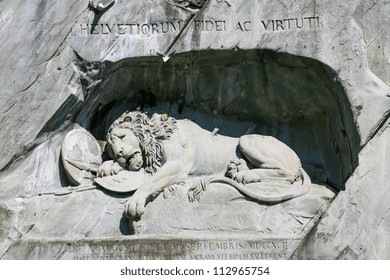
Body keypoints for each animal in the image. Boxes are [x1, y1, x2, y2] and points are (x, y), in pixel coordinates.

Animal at [98, 111, 310, 219]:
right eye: (111, 148)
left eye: (121, 137)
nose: (119, 153)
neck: (155, 139)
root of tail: (299, 160)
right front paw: (107, 167)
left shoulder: (177, 163)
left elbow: (149, 182)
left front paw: (135, 202)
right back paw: (236, 169)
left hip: (247, 140)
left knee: (287, 173)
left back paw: (244, 175)